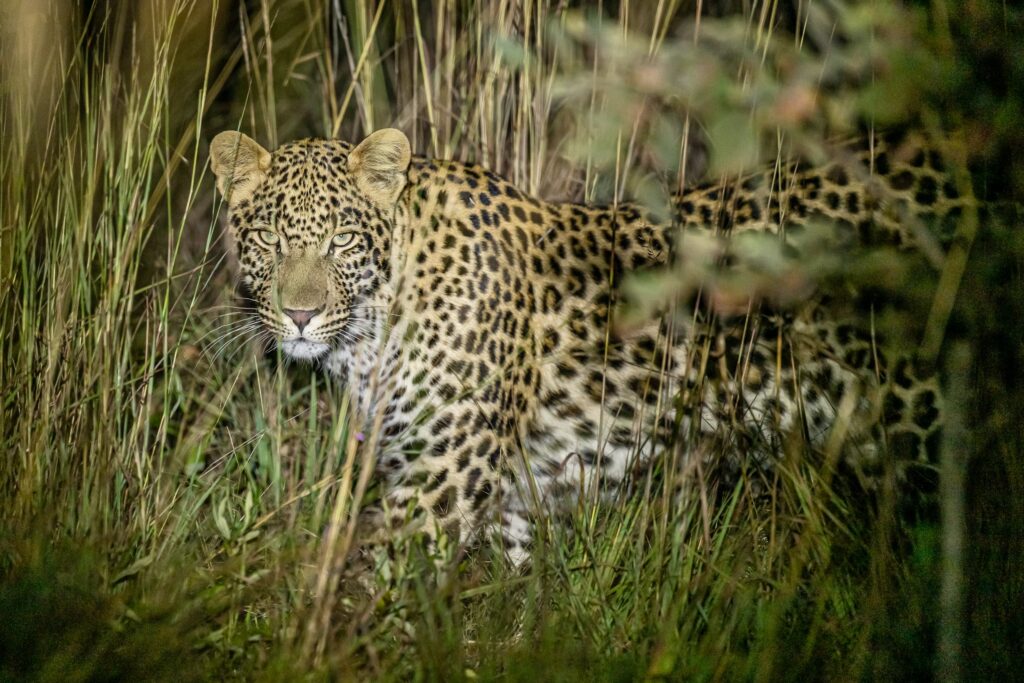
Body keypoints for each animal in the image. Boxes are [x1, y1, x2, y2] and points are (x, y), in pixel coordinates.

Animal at [207, 125, 966, 565]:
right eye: (270, 239)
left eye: (341, 241)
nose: (299, 314)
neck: (372, 328)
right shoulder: (510, 502)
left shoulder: (443, 479)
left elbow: (374, 591)